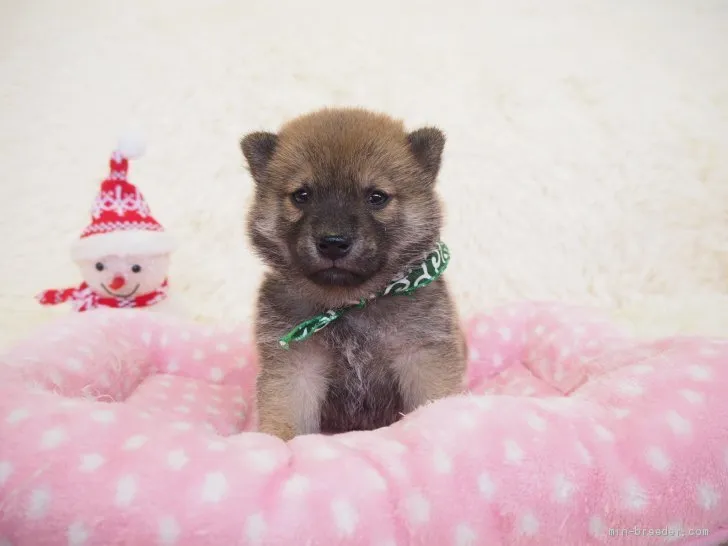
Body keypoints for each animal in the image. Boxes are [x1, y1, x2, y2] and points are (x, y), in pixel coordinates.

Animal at [239, 108, 466, 440]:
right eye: (301, 195)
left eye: (376, 197)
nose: (333, 243)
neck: (350, 304)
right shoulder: (296, 367)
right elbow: (286, 414)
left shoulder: (421, 354)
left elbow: (433, 399)